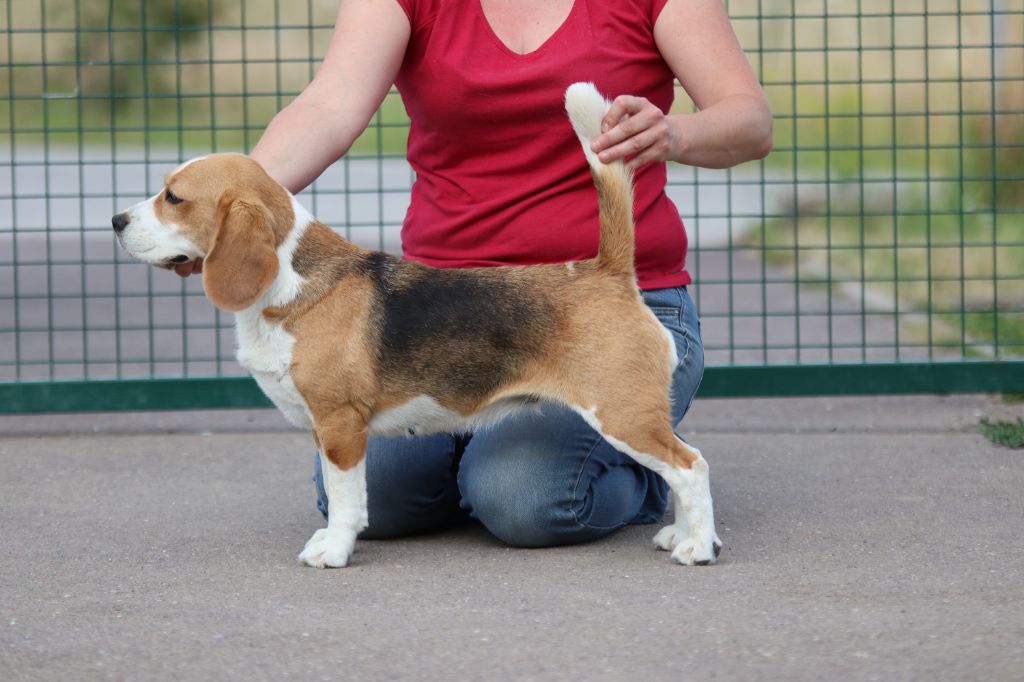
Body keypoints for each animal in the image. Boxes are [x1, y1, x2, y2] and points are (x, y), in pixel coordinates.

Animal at [112, 82, 720, 565]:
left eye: (174, 197)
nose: (115, 221)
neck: (289, 283)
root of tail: (605, 270)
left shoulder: (341, 424)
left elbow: (347, 500)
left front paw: (335, 551)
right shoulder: (323, 427)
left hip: (620, 412)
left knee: (690, 466)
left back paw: (698, 548)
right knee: (681, 465)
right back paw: (682, 535)